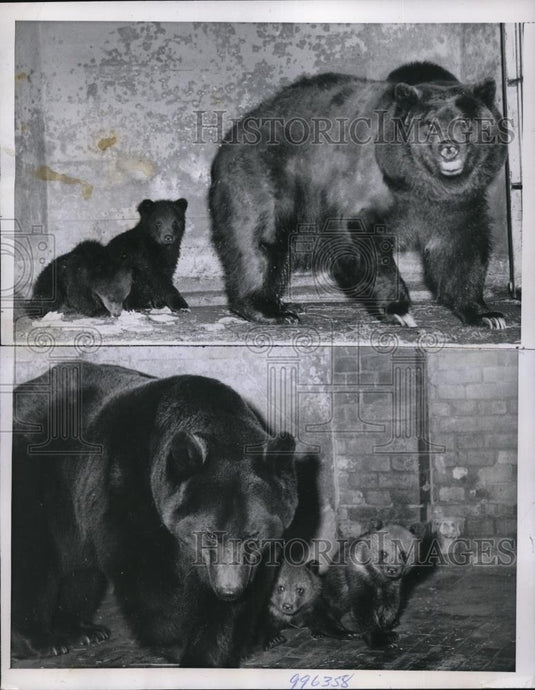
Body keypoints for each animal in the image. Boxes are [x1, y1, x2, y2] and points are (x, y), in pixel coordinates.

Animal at [11, 361, 298, 667]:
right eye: (208, 534)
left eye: (253, 536)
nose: (228, 590)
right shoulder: (130, 484)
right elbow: (147, 574)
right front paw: (178, 640)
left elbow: (248, 591)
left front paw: (215, 648)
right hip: (36, 474)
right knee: (32, 556)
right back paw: (41, 640)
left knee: (80, 570)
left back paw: (81, 630)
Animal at [209, 61, 508, 328]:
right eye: (430, 125)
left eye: (465, 123)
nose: (449, 149)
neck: (422, 185)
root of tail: (234, 132)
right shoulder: (365, 179)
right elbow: (362, 236)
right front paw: (399, 310)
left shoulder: (459, 203)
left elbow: (461, 247)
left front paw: (487, 315)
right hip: (265, 176)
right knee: (261, 241)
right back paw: (269, 310)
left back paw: (285, 304)